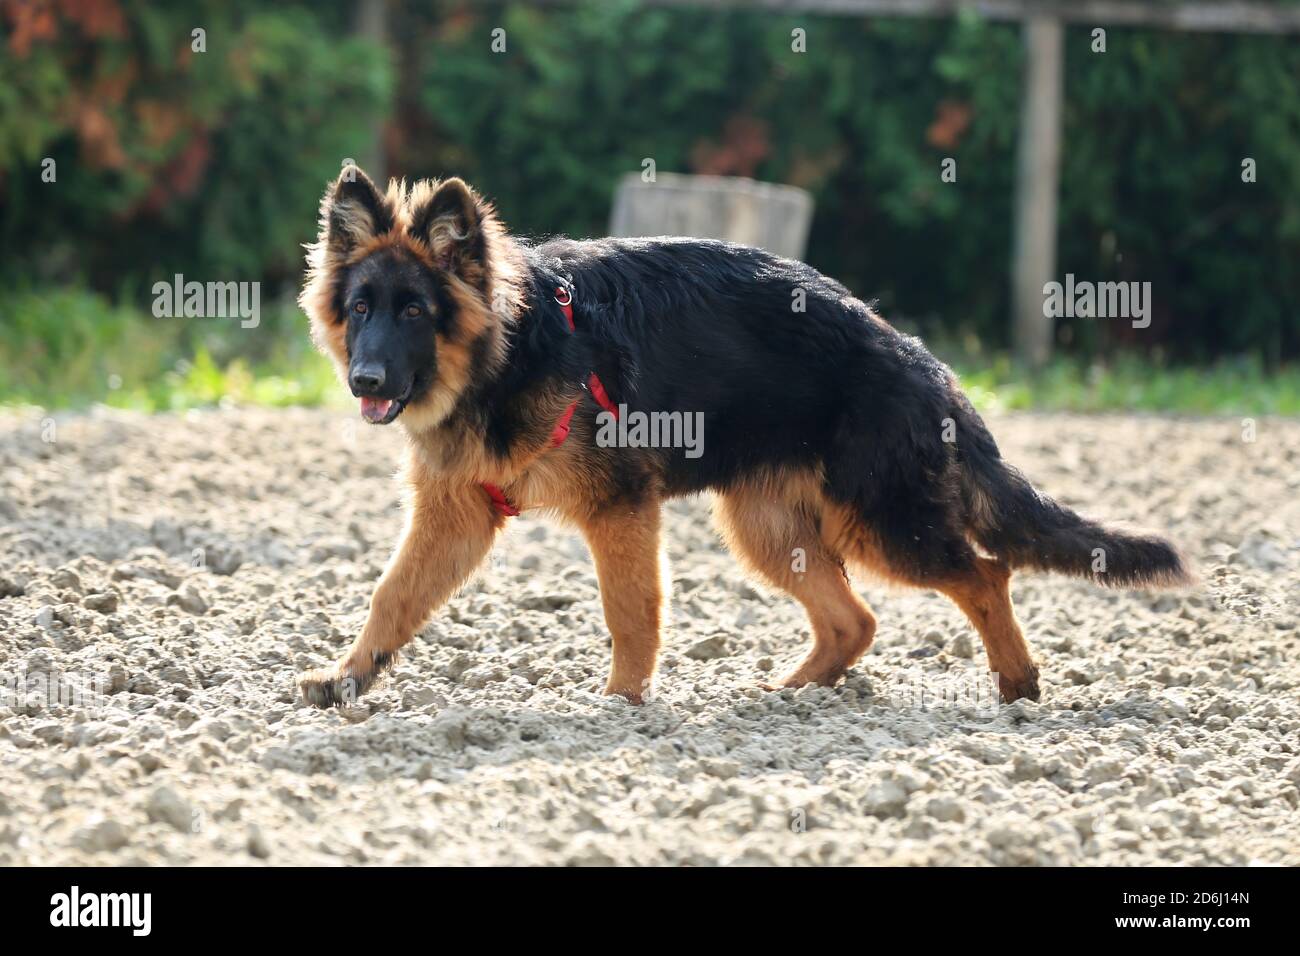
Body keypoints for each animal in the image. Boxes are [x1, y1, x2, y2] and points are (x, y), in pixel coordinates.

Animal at [292, 167, 1190, 712]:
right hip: (768, 526)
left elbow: (630, 612)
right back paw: (790, 695)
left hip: (881, 523)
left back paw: (1016, 682)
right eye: (362, 307)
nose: (365, 382)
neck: (511, 347)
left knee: (984, 573)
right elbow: (392, 596)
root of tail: (921, 361)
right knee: (854, 620)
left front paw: (620, 703)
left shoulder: (620, 511)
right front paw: (348, 676)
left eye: (416, 311)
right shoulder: (456, 517)